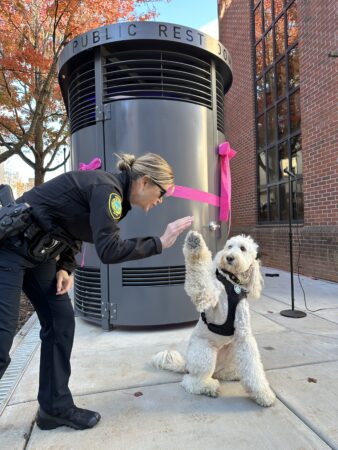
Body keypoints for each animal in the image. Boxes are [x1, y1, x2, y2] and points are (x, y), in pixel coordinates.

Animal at [152, 232, 276, 408]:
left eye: (243, 248)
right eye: (229, 246)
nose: (229, 257)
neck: (232, 282)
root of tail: (186, 364)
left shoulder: (243, 336)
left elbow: (252, 366)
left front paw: (263, 394)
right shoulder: (208, 297)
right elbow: (201, 283)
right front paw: (195, 244)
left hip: (231, 350)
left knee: (220, 373)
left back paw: (232, 374)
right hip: (205, 354)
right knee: (190, 381)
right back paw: (208, 387)